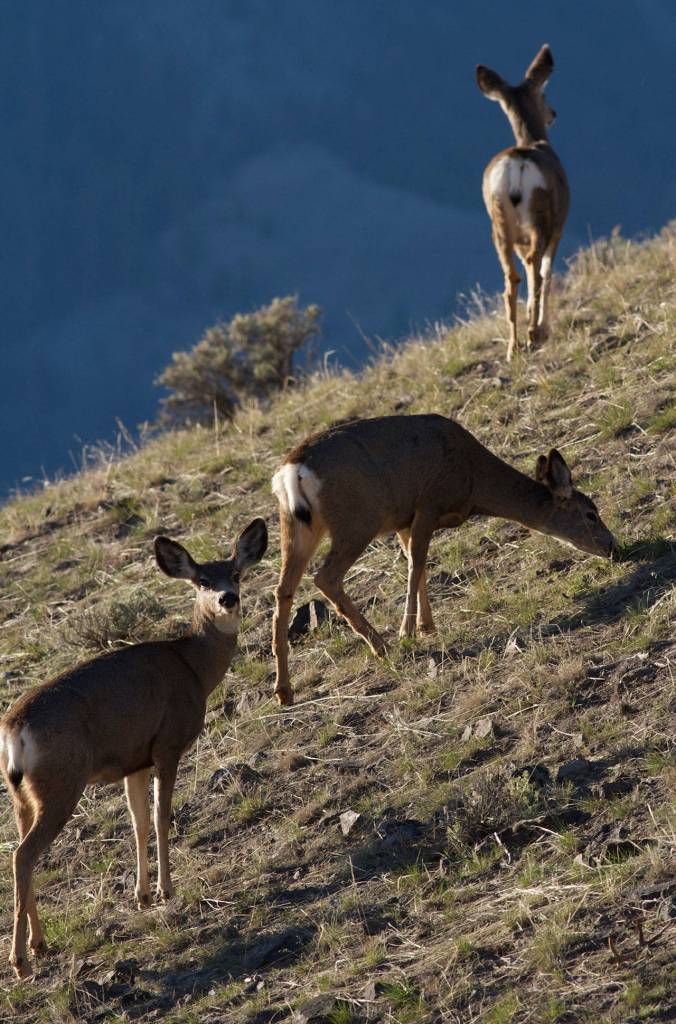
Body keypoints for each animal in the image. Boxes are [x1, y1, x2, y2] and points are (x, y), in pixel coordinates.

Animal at [0, 517, 267, 978]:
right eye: (201, 580)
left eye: (235, 573)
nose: (227, 598)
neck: (193, 667)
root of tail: (14, 727)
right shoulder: (167, 742)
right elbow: (161, 817)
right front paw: (165, 890)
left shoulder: (134, 760)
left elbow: (138, 821)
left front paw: (141, 895)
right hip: (62, 782)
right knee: (23, 855)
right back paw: (20, 961)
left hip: (21, 793)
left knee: (24, 853)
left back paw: (40, 944)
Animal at [271, 414, 617, 705]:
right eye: (591, 513)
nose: (613, 546)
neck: (474, 479)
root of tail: (293, 469)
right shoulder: (428, 503)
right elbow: (416, 564)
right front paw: (408, 631)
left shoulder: (405, 519)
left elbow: (418, 564)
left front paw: (426, 625)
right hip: (358, 519)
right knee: (325, 577)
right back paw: (380, 646)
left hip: (297, 526)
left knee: (283, 589)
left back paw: (284, 691)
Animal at [477, 44, 570, 361]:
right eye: (544, 94)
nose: (554, 113)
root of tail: (517, 165)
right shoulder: (558, 227)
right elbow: (548, 272)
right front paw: (543, 328)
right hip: (540, 218)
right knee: (535, 271)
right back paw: (534, 334)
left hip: (498, 226)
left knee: (510, 280)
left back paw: (511, 349)